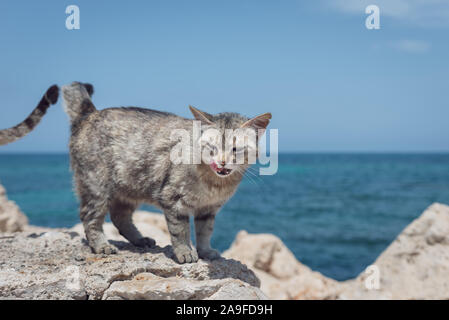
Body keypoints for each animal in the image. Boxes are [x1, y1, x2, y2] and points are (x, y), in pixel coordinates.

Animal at [60, 81, 268, 264]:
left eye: (236, 149)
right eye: (212, 147)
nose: (222, 161)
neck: (214, 185)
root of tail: (90, 113)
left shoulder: (208, 209)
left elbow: (204, 232)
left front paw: (205, 251)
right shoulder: (173, 200)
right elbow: (180, 231)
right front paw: (185, 252)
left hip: (128, 189)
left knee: (120, 218)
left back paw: (140, 239)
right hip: (96, 186)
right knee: (90, 218)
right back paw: (102, 246)